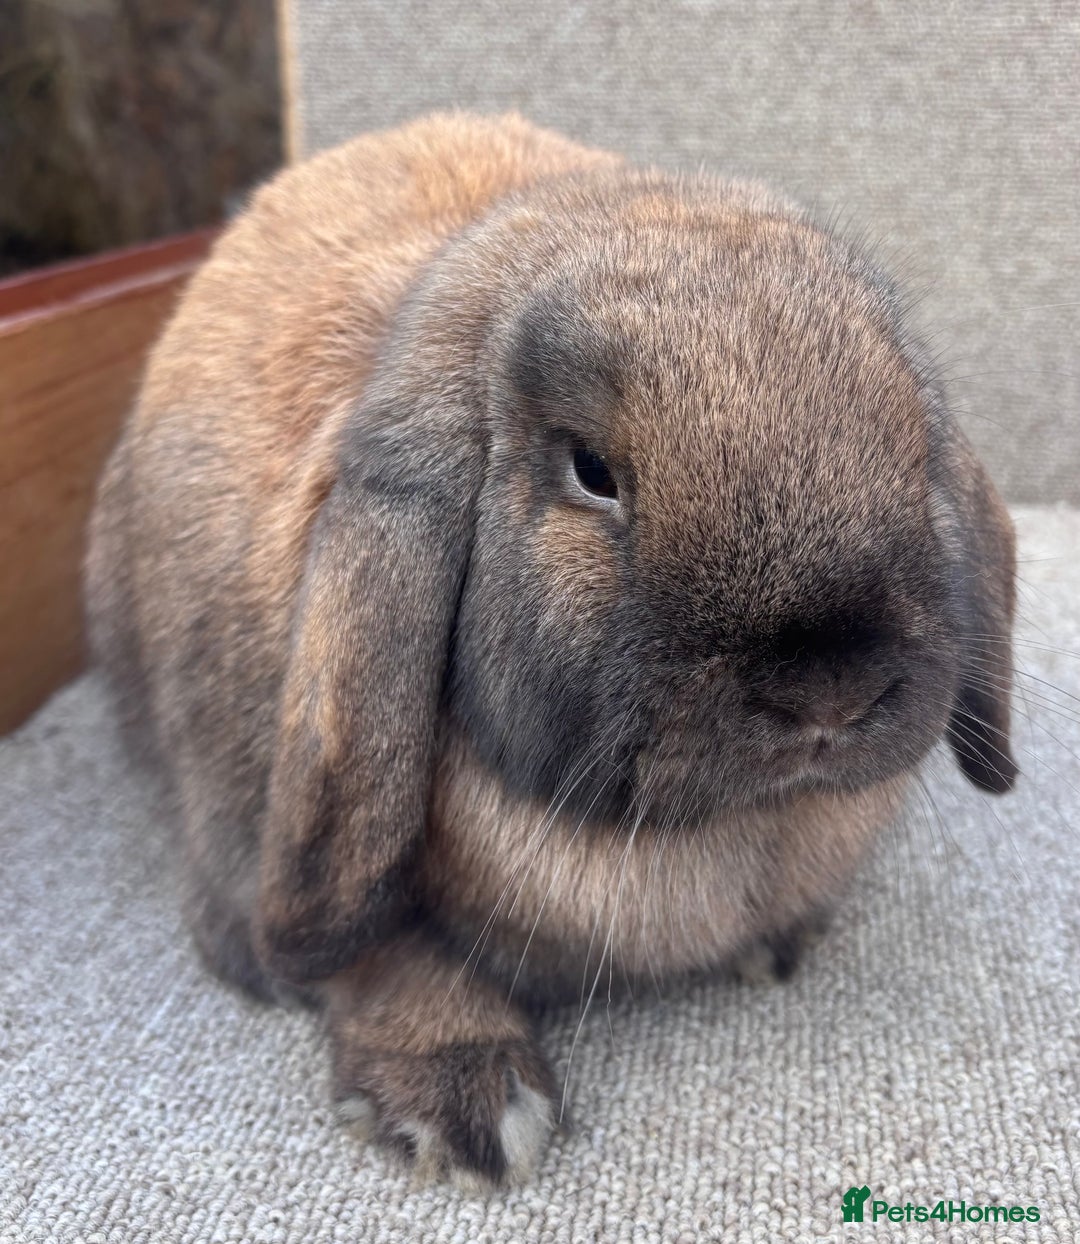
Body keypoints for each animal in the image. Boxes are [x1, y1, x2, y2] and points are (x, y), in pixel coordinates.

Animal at [84, 111, 1017, 1188]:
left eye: (916, 450)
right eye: (593, 472)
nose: (830, 690)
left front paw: (780, 944)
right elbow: (374, 955)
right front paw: (464, 1101)